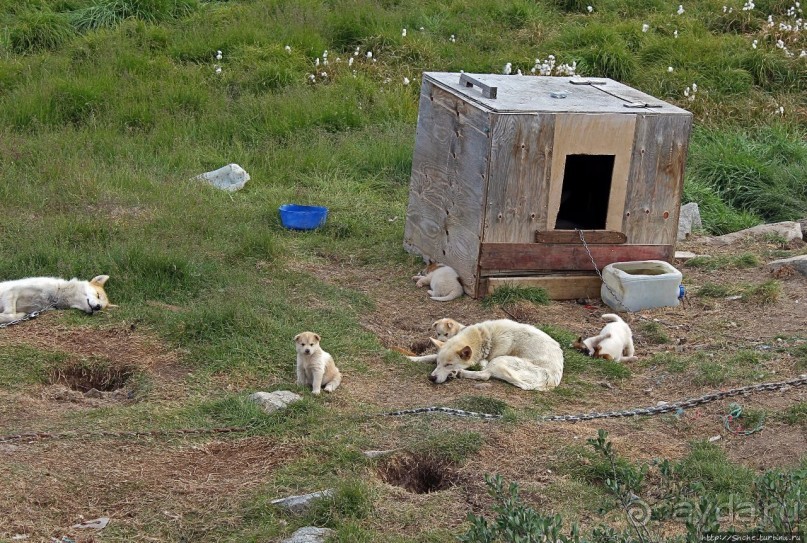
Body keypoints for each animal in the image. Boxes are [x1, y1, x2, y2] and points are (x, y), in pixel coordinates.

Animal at [426, 318, 564, 392]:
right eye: (438, 363)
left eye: (449, 365)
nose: (431, 378)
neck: (482, 339)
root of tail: (550, 381)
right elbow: (430, 356)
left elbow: (483, 369)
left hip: (500, 360)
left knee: (485, 375)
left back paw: (460, 373)